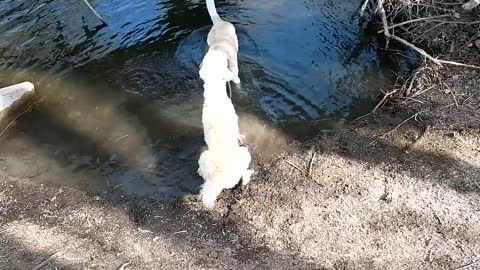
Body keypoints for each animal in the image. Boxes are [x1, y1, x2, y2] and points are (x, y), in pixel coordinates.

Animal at [197, 49, 253, 208]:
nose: (218, 49)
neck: (214, 91)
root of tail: (216, 181)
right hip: (244, 154)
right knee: (243, 176)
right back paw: (249, 174)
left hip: (203, 157)